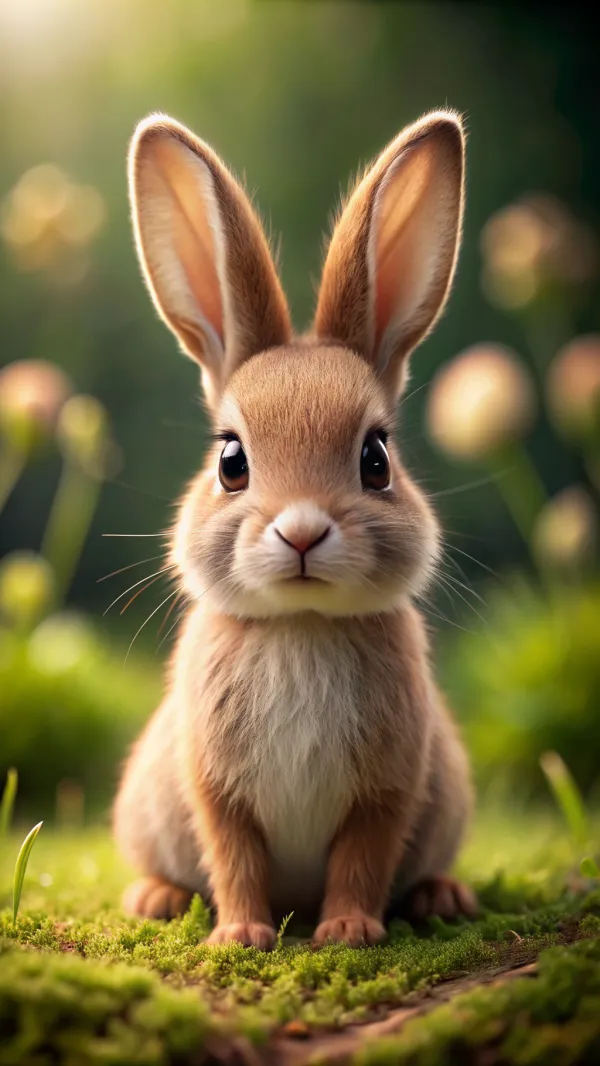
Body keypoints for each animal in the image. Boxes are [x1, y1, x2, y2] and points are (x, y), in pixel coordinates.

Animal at [113, 108, 476, 949]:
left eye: (376, 458)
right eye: (231, 461)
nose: (302, 531)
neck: (302, 625)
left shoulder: (388, 787)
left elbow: (362, 856)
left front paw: (346, 931)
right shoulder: (214, 787)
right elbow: (235, 856)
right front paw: (243, 936)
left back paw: (443, 898)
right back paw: (154, 899)